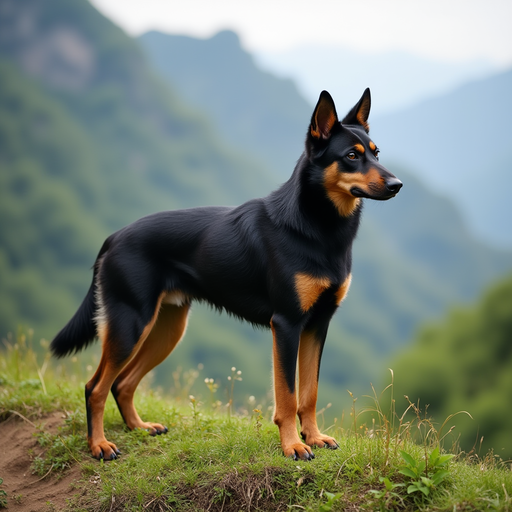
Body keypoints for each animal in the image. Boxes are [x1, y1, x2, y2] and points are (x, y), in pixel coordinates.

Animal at [53, 88, 404, 460]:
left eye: (376, 153)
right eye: (351, 156)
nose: (397, 185)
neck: (317, 227)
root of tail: (113, 238)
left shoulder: (317, 324)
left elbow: (309, 393)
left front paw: (314, 437)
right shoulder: (287, 324)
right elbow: (288, 395)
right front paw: (293, 445)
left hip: (167, 329)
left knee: (122, 383)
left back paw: (139, 427)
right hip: (130, 324)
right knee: (95, 386)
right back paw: (99, 444)